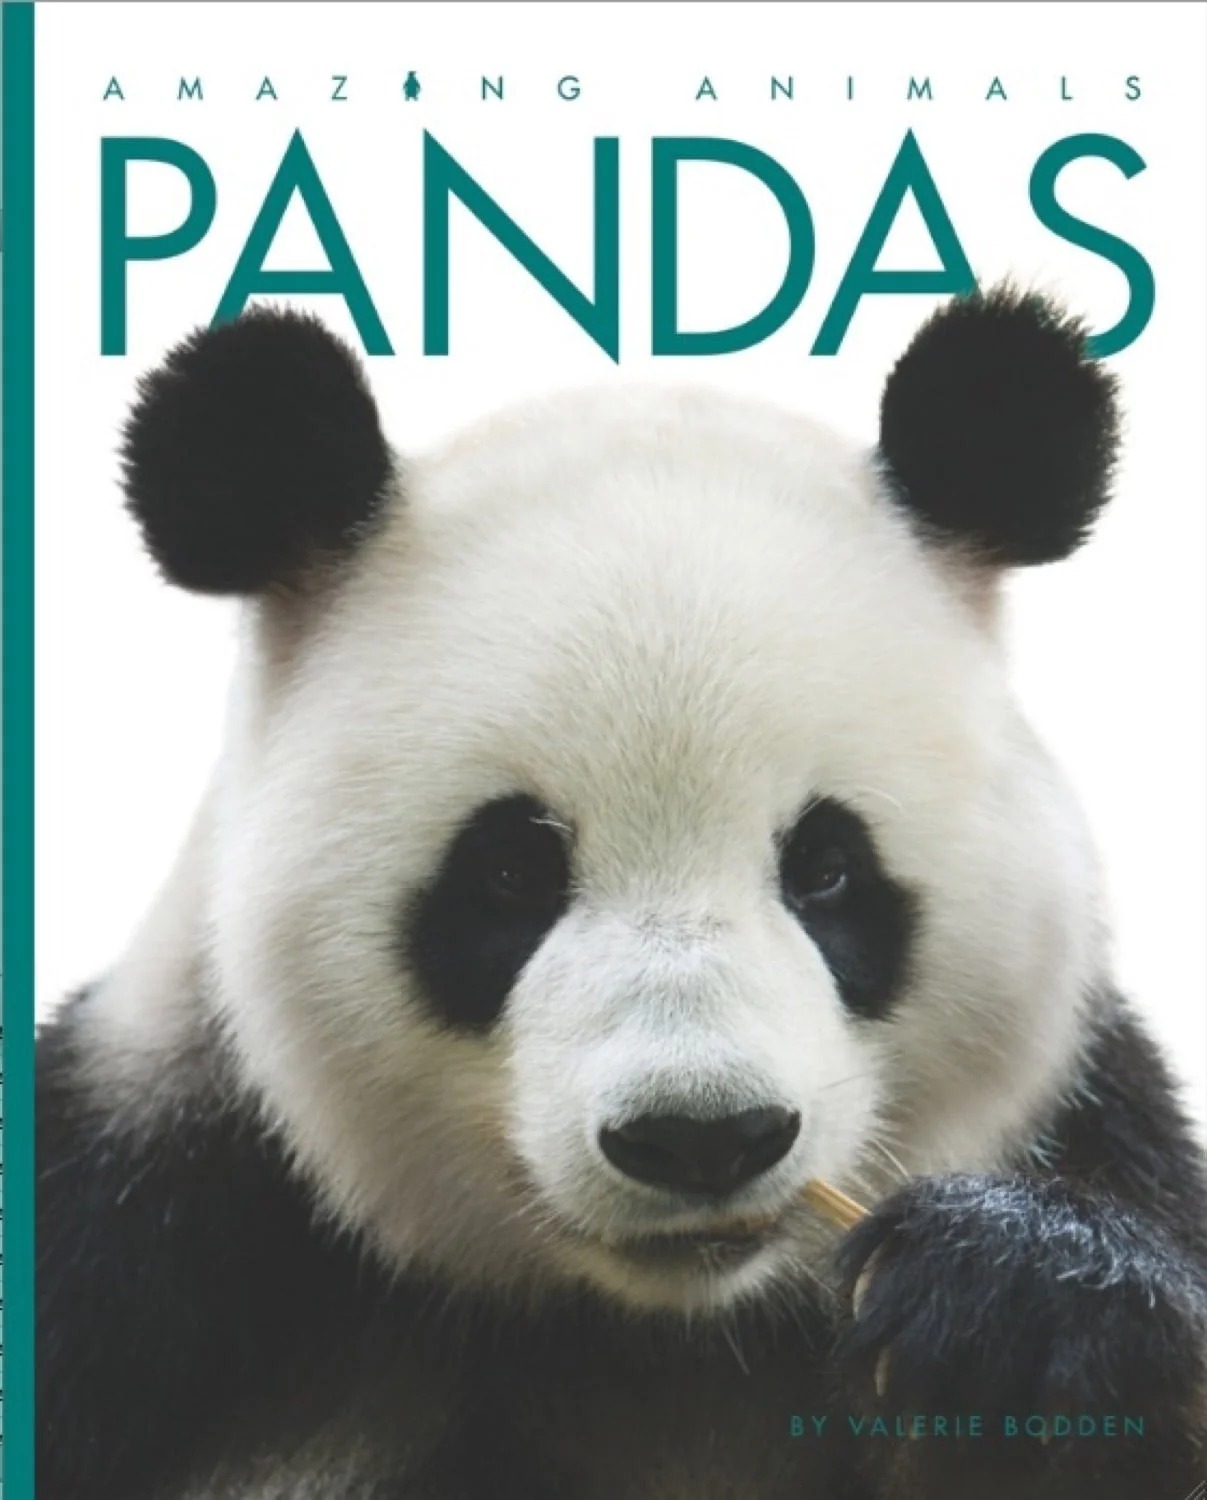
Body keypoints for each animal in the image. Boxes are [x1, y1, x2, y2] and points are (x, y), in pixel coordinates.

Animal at [38, 287, 1207, 1500]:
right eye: (510, 873)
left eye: (826, 868)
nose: (703, 1138)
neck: (659, 1328)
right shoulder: (144, 1236)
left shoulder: (1089, 1124)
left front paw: (1020, 1302)